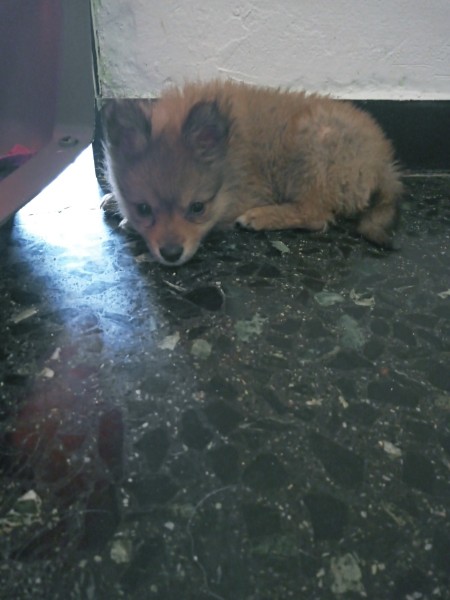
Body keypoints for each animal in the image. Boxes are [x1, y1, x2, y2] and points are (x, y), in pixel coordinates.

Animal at [102, 80, 400, 264]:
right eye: (144, 209)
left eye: (197, 208)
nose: (171, 253)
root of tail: (382, 164)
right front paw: (114, 202)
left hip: (311, 145)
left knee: (317, 215)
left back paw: (261, 217)